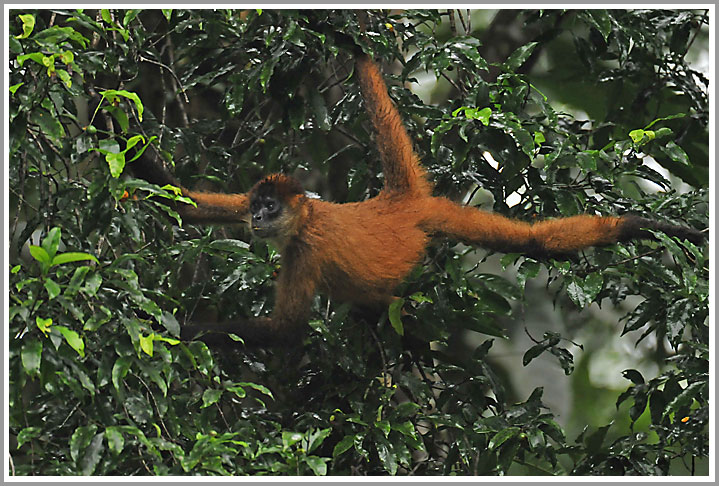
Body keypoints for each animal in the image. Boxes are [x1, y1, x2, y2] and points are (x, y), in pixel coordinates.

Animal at [128, 41, 705, 348]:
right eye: (254, 206)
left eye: (270, 209)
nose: (256, 220)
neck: (308, 216)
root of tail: (395, 200)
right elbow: (186, 205)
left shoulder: (305, 248)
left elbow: (286, 329)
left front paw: (178, 328)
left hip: (439, 215)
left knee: (534, 243)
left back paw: (639, 226)